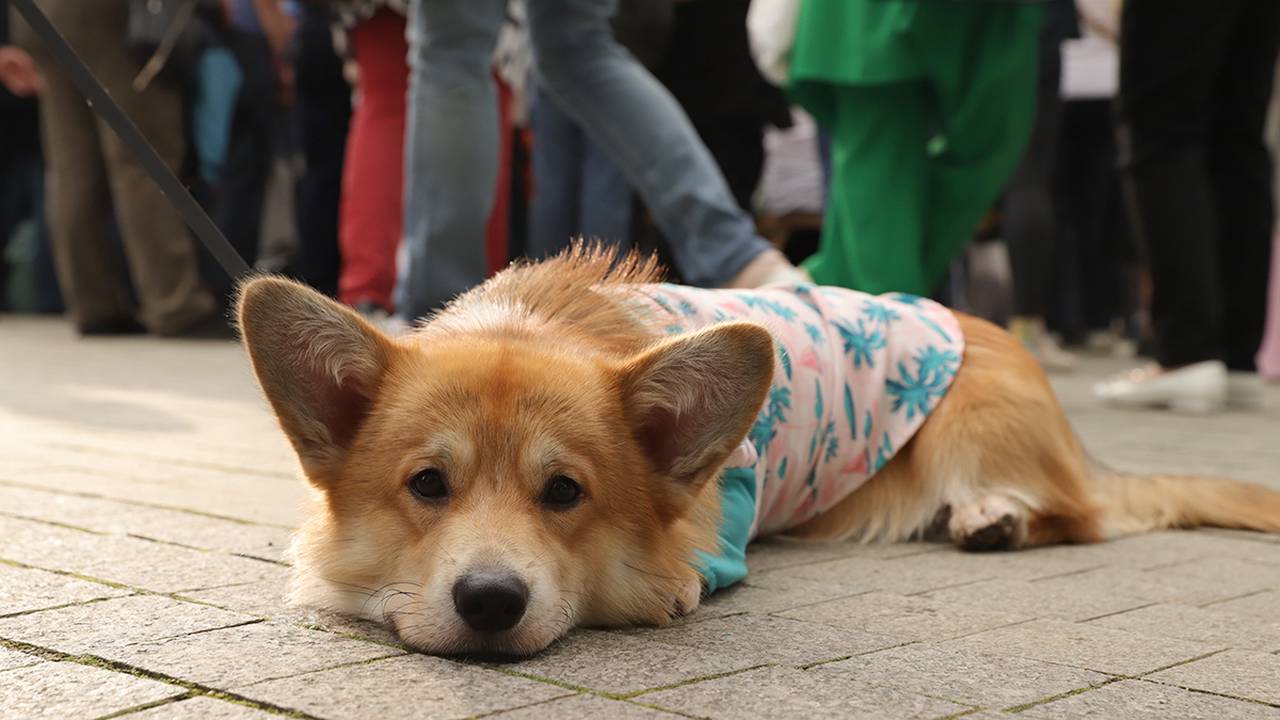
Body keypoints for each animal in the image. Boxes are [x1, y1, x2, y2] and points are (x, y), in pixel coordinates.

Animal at [238, 244, 1280, 655]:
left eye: (565, 492)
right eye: (427, 483)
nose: (491, 602)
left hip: (969, 431)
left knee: (1080, 515)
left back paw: (992, 518)